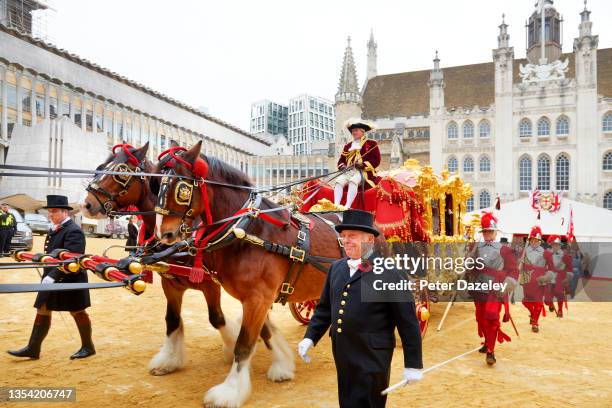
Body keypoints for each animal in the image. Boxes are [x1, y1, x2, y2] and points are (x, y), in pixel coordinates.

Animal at [80, 143, 249, 376]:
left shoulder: (209, 284)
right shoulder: (170, 283)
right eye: (101, 167)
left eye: (122, 172)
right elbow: (172, 320)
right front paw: (167, 361)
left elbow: (217, 318)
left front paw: (231, 348)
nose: (86, 205)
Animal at [152, 142, 344, 406]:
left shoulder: (257, 297)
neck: (248, 231)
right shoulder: (256, 298)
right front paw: (282, 364)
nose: (165, 235)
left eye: (182, 189)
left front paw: (230, 391)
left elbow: (243, 344)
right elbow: (263, 333)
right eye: (156, 185)